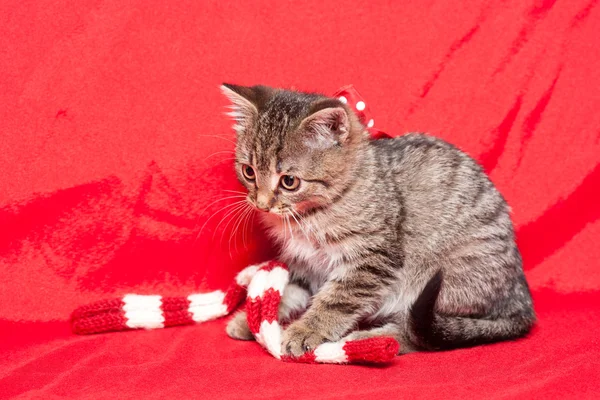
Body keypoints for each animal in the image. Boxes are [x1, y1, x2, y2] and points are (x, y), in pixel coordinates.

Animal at [220, 83, 536, 354]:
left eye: (289, 181)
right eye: (248, 172)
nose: (261, 203)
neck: (309, 216)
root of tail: (520, 296)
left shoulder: (373, 259)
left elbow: (336, 301)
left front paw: (305, 330)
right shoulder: (305, 264)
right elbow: (291, 292)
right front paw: (251, 319)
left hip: (443, 281)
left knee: (416, 333)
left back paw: (369, 340)